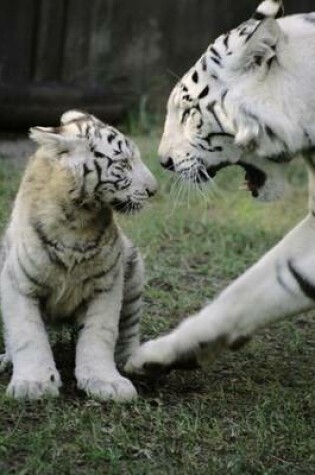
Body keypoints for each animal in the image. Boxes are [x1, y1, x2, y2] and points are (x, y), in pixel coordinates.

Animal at [0, 109, 158, 400]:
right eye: (124, 164)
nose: (154, 190)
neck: (78, 220)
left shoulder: (107, 284)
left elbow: (100, 333)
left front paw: (106, 382)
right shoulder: (18, 283)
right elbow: (27, 334)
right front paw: (34, 384)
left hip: (133, 273)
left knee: (128, 330)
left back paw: (133, 362)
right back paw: (6, 359)